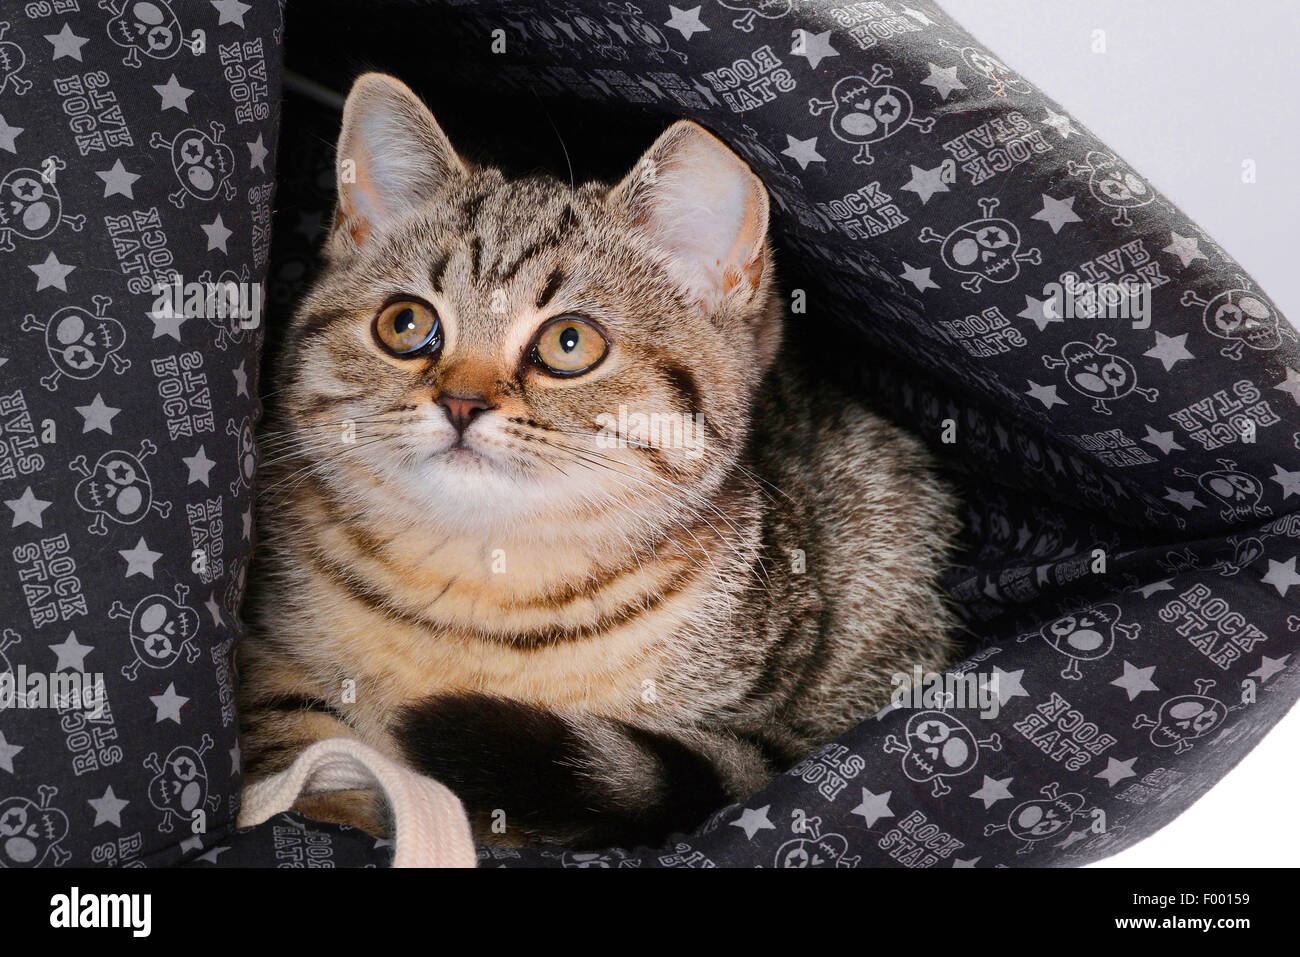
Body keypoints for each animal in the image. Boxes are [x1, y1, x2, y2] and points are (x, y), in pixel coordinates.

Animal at [239, 74, 961, 847]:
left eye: (569, 342)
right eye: (405, 325)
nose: (461, 402)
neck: (481, 594)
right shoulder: (264, 641)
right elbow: (300, 738)